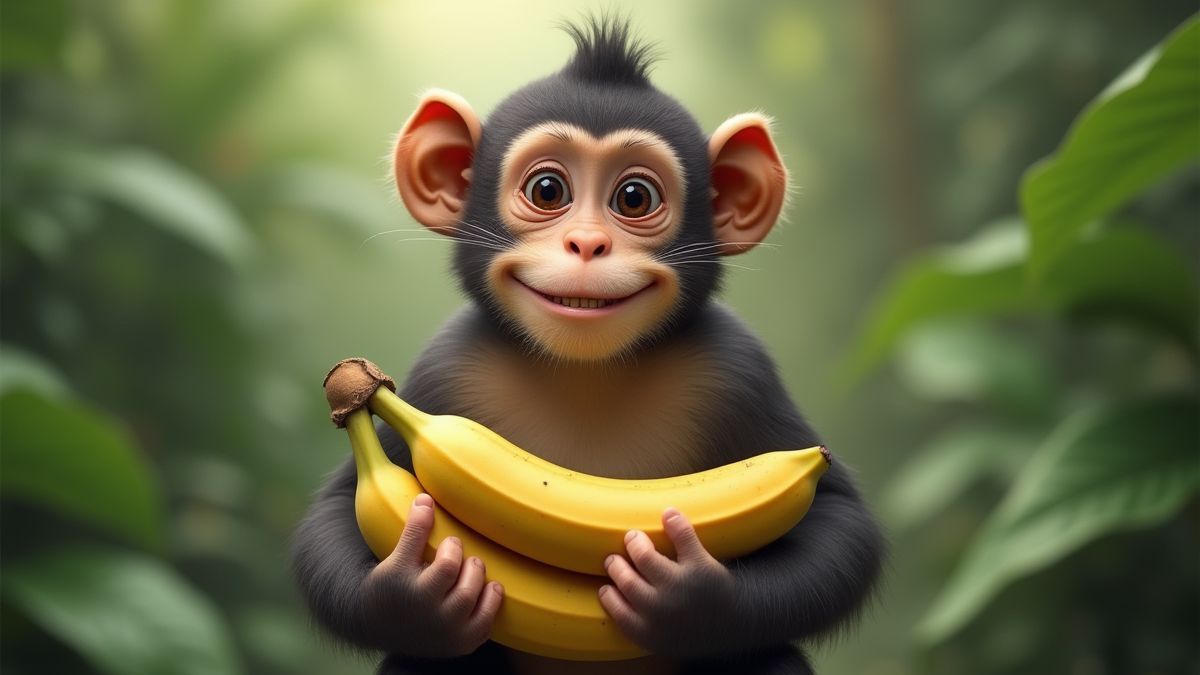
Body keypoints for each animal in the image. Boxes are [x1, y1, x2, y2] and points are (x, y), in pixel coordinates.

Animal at [292, 17, 884, 675]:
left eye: (634, 198)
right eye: (549, 190)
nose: (587, 244)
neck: (586, 372)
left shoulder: (737, 366)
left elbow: (837, 518)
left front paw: (692, 597)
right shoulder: (445, 365)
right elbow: (335, 513)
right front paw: (415, 595)